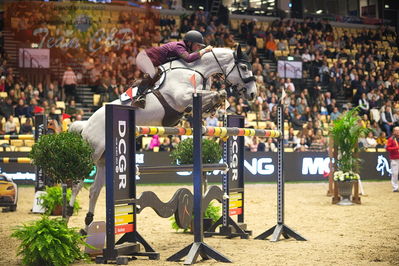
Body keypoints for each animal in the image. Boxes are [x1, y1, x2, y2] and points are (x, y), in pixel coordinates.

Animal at [67, 44, 258, 230]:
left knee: (94, 190)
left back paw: (88, 224)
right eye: (243, 67)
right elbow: (209, 94)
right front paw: (212, 100)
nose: (253, 95)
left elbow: (214, 95)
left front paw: (212, 106)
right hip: (93, 153)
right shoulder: (182, 97)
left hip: (104, 160)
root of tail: (86, 124)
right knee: (77, 184)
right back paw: (68, 215)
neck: (196, 69)